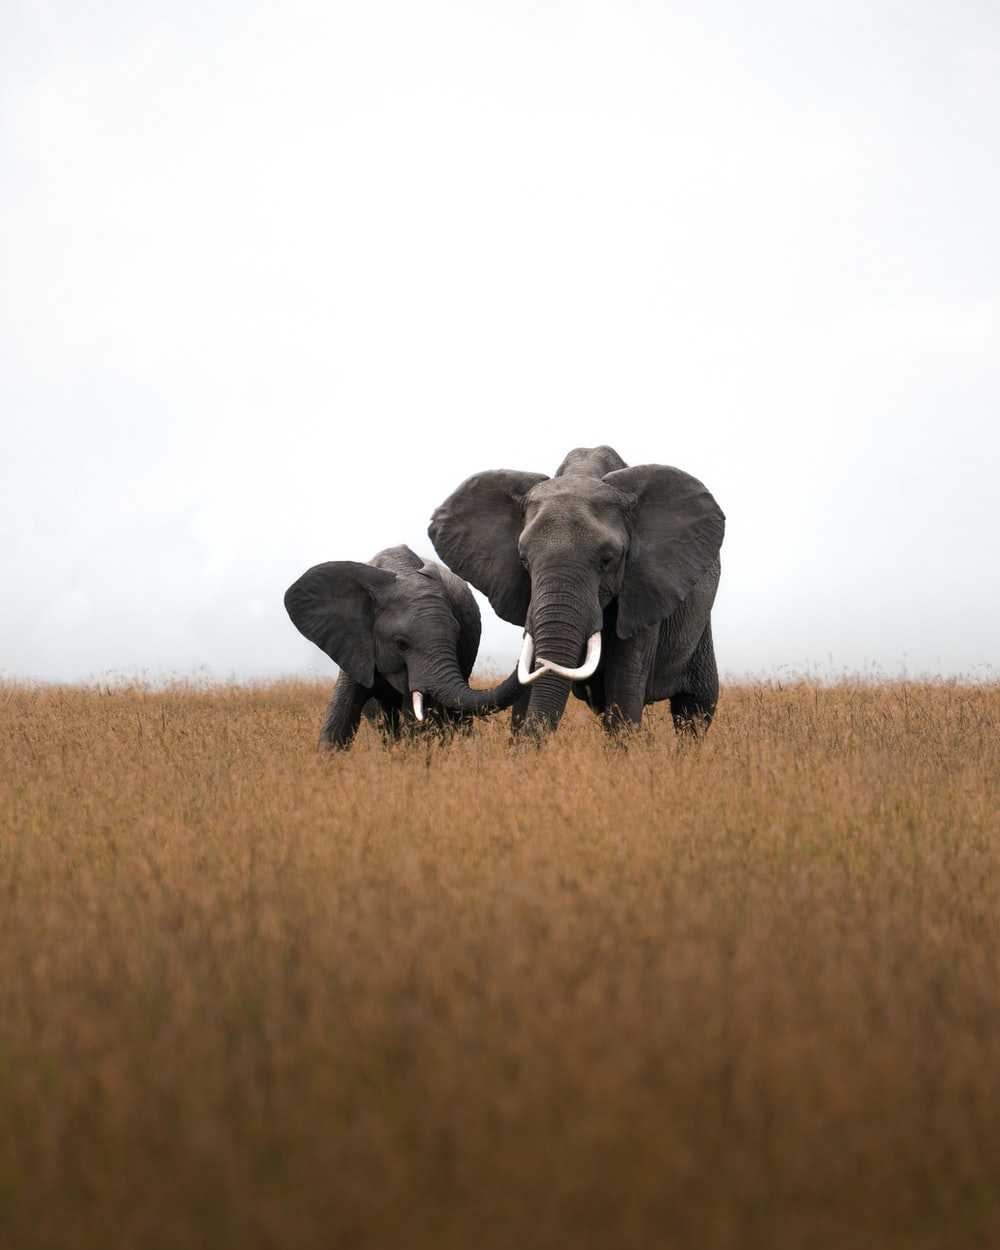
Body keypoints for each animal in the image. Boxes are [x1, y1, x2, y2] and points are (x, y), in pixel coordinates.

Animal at [284, 544, 522, 749]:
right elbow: (339, 716)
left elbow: (416, 721)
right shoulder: (356, 644)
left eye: (458, 637)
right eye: (401, 644)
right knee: (385, 724)